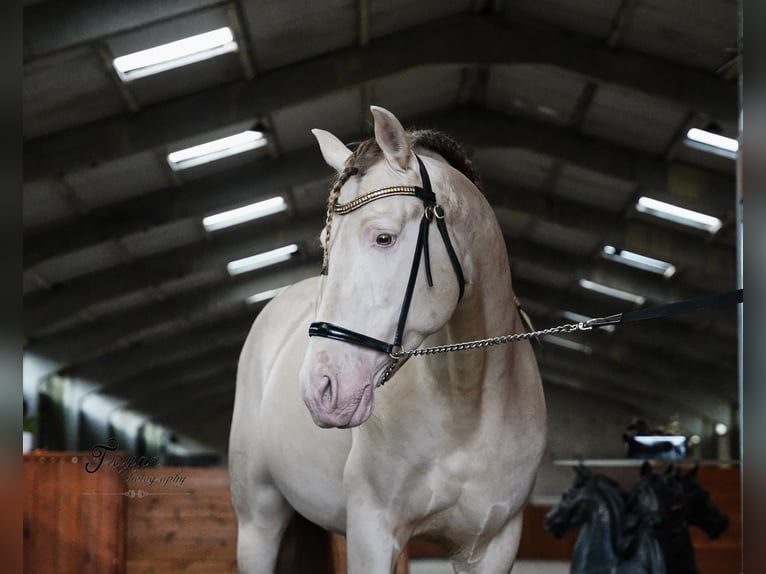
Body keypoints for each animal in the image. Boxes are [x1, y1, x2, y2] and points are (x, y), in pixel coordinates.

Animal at [228, 108, 544, 574]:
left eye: (384, 237)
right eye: (326, 244)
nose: (321, 390)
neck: (466, 405)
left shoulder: (492, 546)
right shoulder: (372, 533)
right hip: (257, 521)